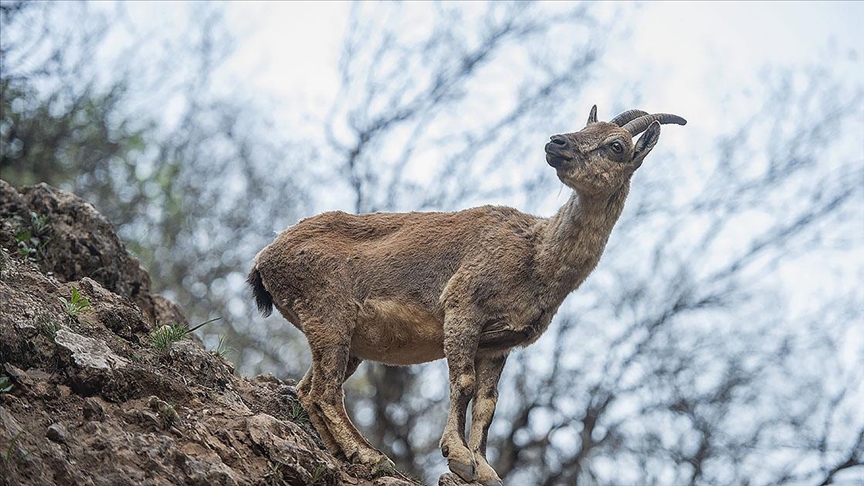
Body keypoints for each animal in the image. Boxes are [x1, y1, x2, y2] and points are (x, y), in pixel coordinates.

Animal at [246, 105, 684, 482]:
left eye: (616, 146)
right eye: (584, 126)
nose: (557, 142)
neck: (537, 257)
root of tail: (264, 259)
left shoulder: (500, 344)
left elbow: (489, 403)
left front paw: (485, 469)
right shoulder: (462, 308)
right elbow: (464, 383)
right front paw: (458, 457)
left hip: (345, 337)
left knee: (309, 389)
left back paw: (345, 452)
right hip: (330, 312)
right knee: (325, 390)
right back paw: (372, 455)